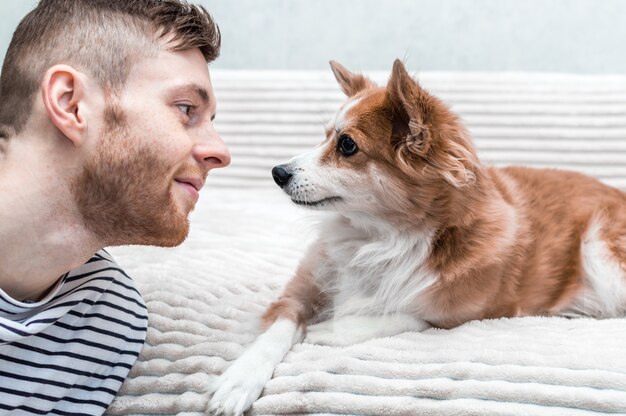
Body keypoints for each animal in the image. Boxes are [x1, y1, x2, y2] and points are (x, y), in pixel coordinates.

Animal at [208, 59, 624, 416]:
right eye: (324, 137)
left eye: (346, 145)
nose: (277, 172)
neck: (381, 237)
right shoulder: (300, 293)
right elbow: (276, 332)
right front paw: (238, 381)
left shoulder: (475, 311)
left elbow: (406, 314)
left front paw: (328, 330)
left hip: (602, 258)